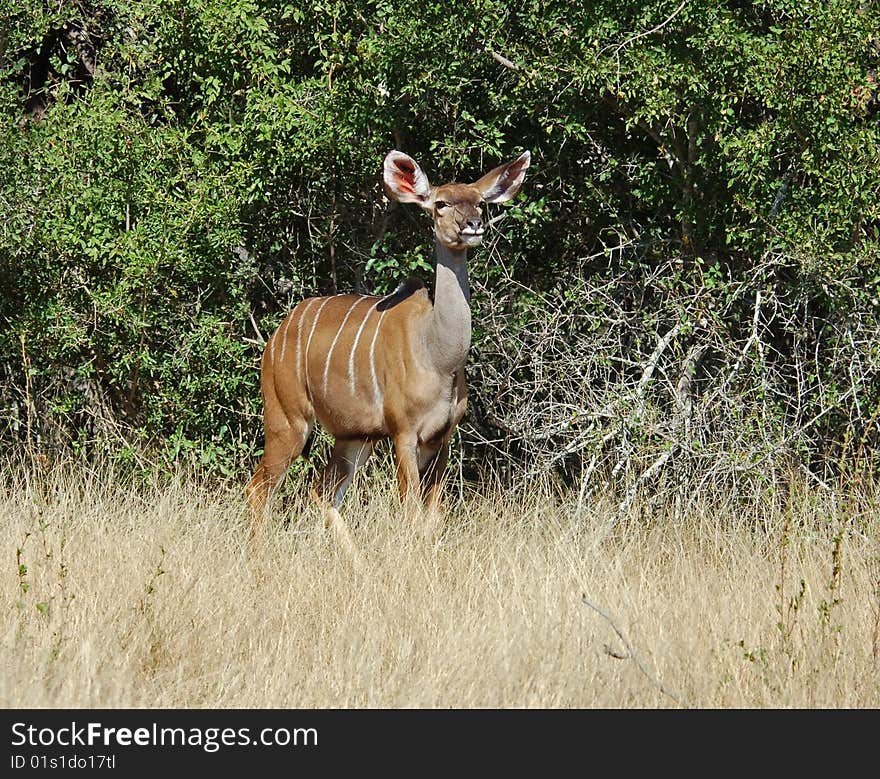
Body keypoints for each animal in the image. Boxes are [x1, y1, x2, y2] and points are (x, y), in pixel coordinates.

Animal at [246, 148, 528, 544]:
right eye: (440, 203)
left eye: (479, 203)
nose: (472, 225)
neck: (438, 356)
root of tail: (275, 340)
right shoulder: (403, 432)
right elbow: (410, 513)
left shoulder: (441, 439)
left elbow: (432, 518)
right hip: (288, 419)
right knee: (260, 488)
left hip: (355, 436)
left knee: (323, 489)